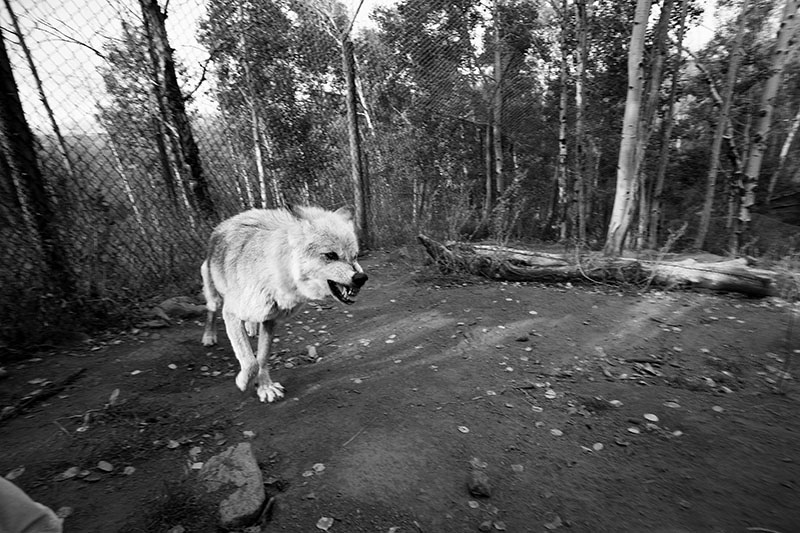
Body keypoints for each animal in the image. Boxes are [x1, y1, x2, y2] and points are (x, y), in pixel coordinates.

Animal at [200, 206, 368, 402]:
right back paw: (209, 337)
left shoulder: (270, 321)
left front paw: (265, 387)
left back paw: (250, 328)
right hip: (215, 299)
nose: (361, 278)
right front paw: (242, 382)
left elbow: (262, 358)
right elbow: (250, 362)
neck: (273, 276)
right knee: (211, 312)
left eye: (354, 256)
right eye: (330, 255)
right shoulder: (231, 313)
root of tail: (223, 224)